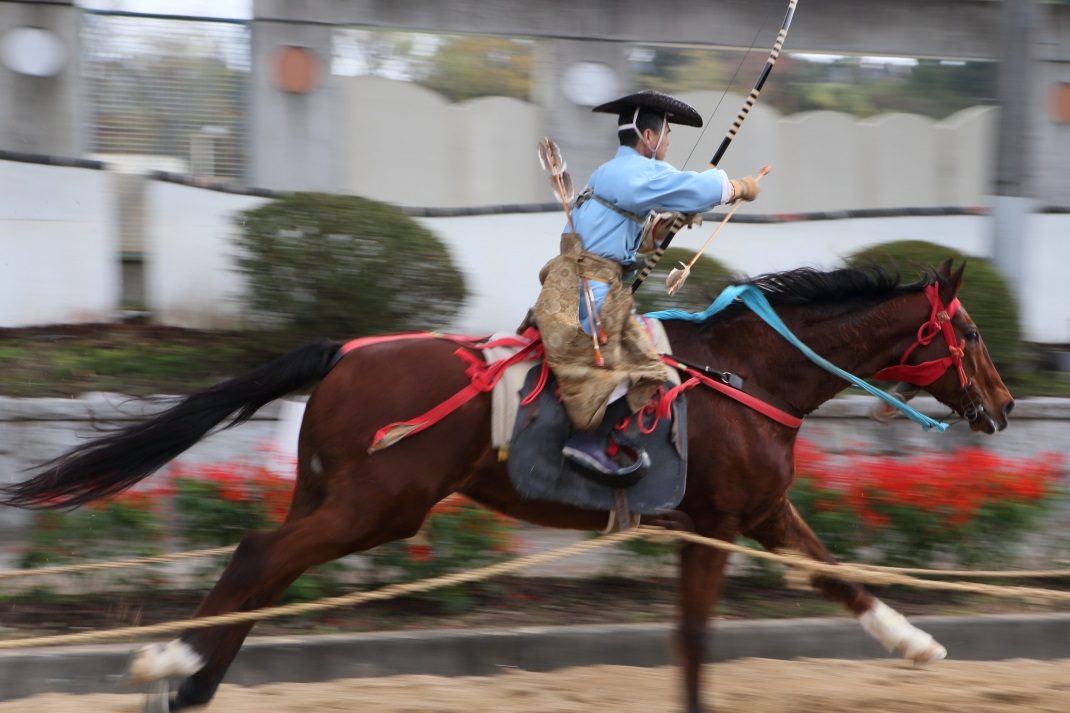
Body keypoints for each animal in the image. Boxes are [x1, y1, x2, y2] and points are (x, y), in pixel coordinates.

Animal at [2, 261, 1010, 710]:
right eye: (968, 332)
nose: (1001, 403)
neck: (749, 372)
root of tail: (347, 351)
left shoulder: (756, 511)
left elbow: (835, 576)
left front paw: (917, 643)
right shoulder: (723, 519)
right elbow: (698, 634)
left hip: (330, 495)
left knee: (262, 567)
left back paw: (186, 679)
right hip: (377, 505)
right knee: (258, 556)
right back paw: (169, 667)